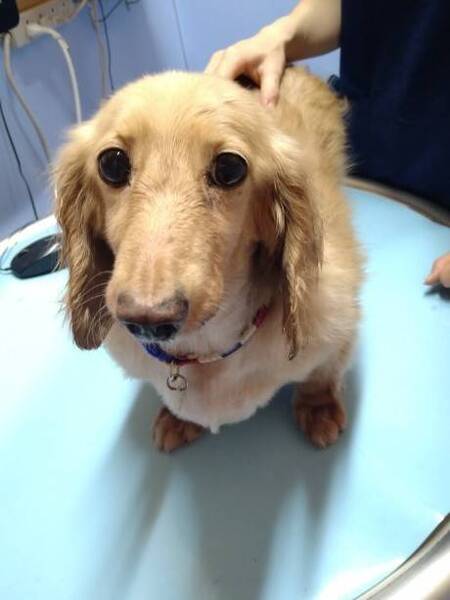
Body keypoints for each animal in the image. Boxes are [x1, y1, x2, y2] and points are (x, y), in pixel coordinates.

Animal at [54, 67, 363, 452]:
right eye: (112, 163)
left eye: (230, 168)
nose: (148, 319)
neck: (203, 348)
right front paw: (178, 418)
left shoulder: (340, 329)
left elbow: (323, 374)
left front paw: (318, 408)